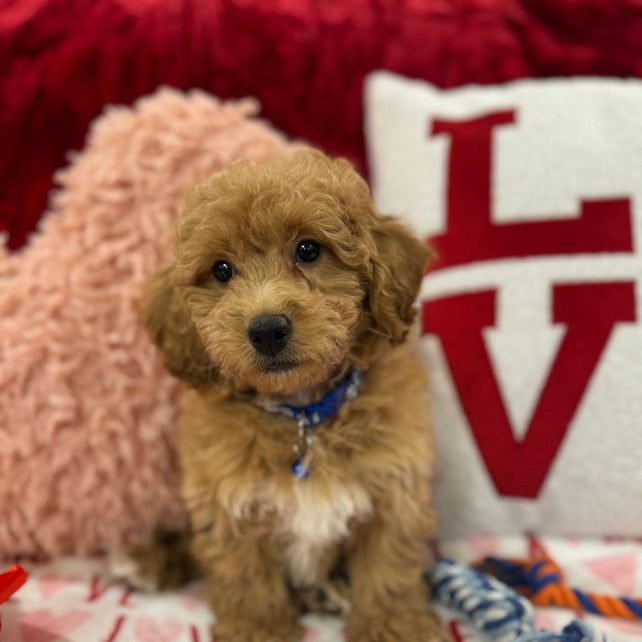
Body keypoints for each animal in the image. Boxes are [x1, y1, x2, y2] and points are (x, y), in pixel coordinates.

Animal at [115, 148, 442, 636]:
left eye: (308, 250)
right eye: (221, 270)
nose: (267, 329)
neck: (303, 412)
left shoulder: (394, 487)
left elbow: (389, 567)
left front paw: (394, 626)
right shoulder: (228, 498)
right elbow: (245, 575)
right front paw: (258, 629)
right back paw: (148, 559)